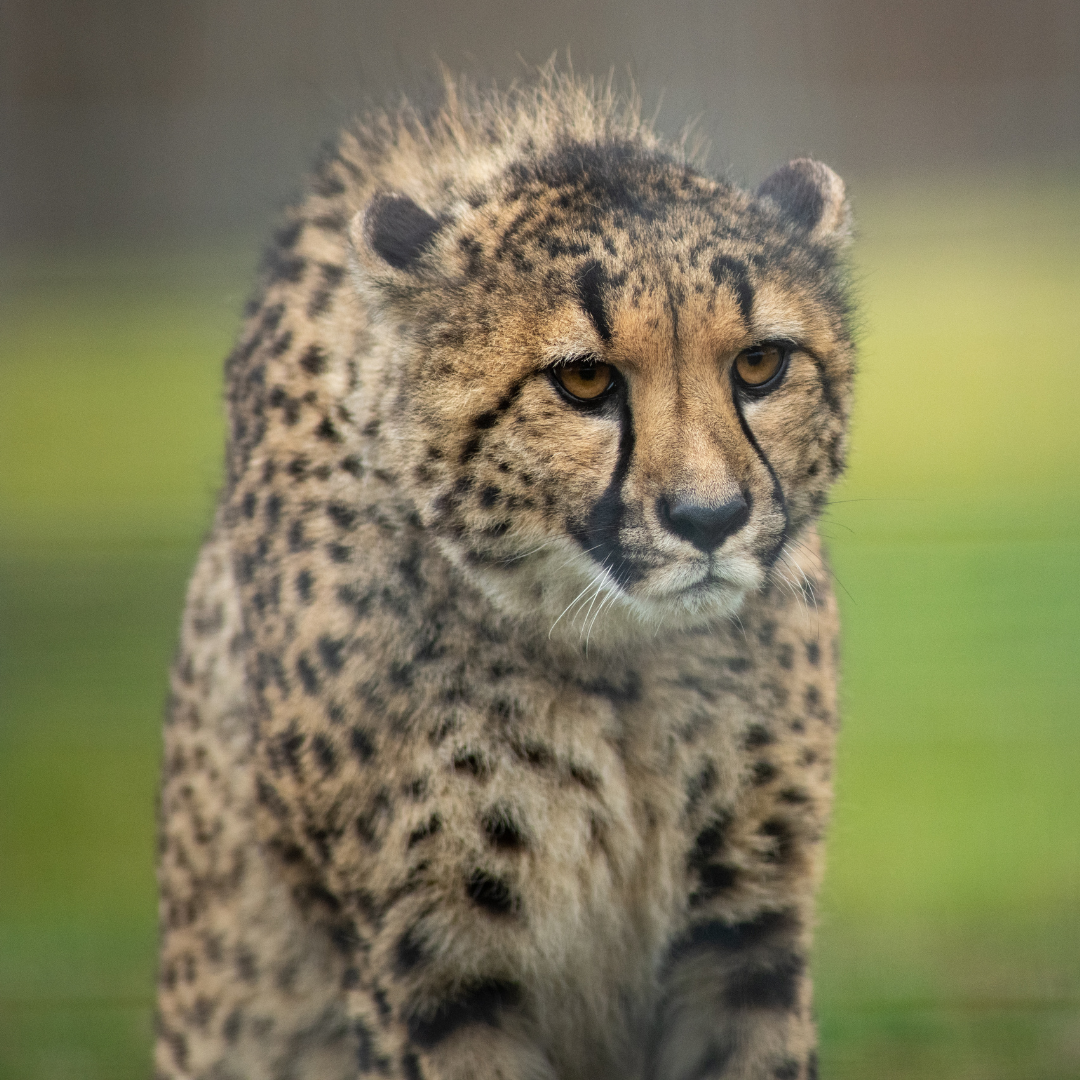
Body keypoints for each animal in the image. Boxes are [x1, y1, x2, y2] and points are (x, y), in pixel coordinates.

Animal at [157, 69, 851, 1080]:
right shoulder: (423, 963)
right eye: (586, 382)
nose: (710, 519)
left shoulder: (743, 929)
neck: (613, 661)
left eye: (760, 363)